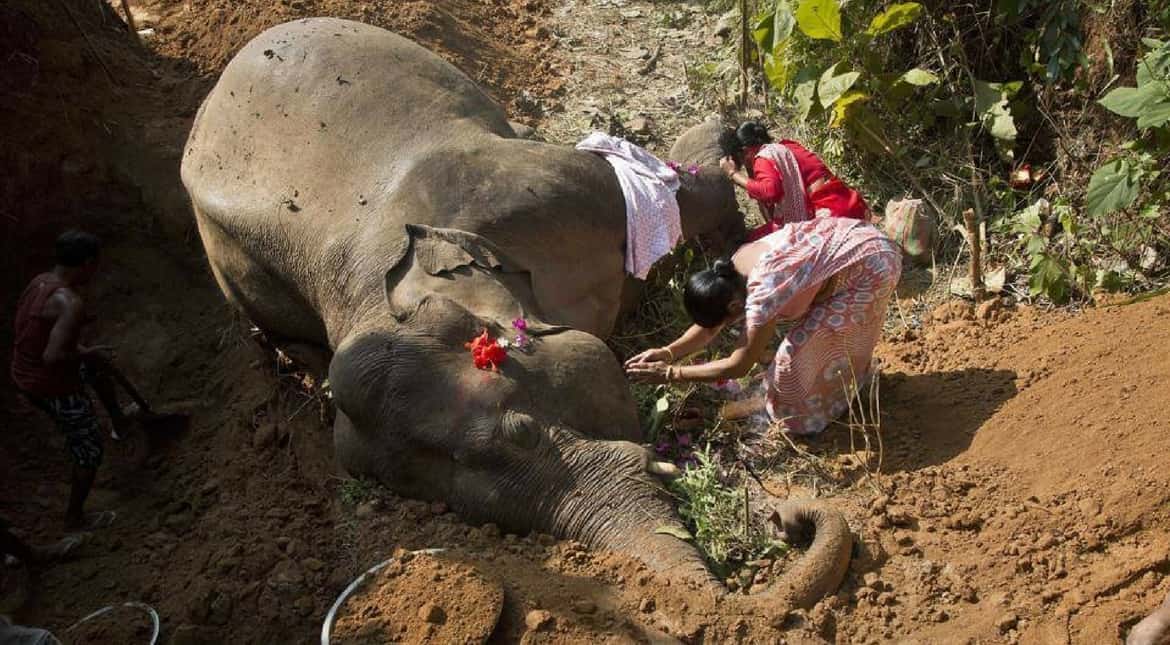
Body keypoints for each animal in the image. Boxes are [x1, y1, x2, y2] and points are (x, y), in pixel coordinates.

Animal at [181, 17, 850, 614]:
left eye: (521, 430)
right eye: (460, 509)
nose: (790, 522)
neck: (379, 289)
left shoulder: (529, 187)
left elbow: (667, 188)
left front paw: (729, 186)